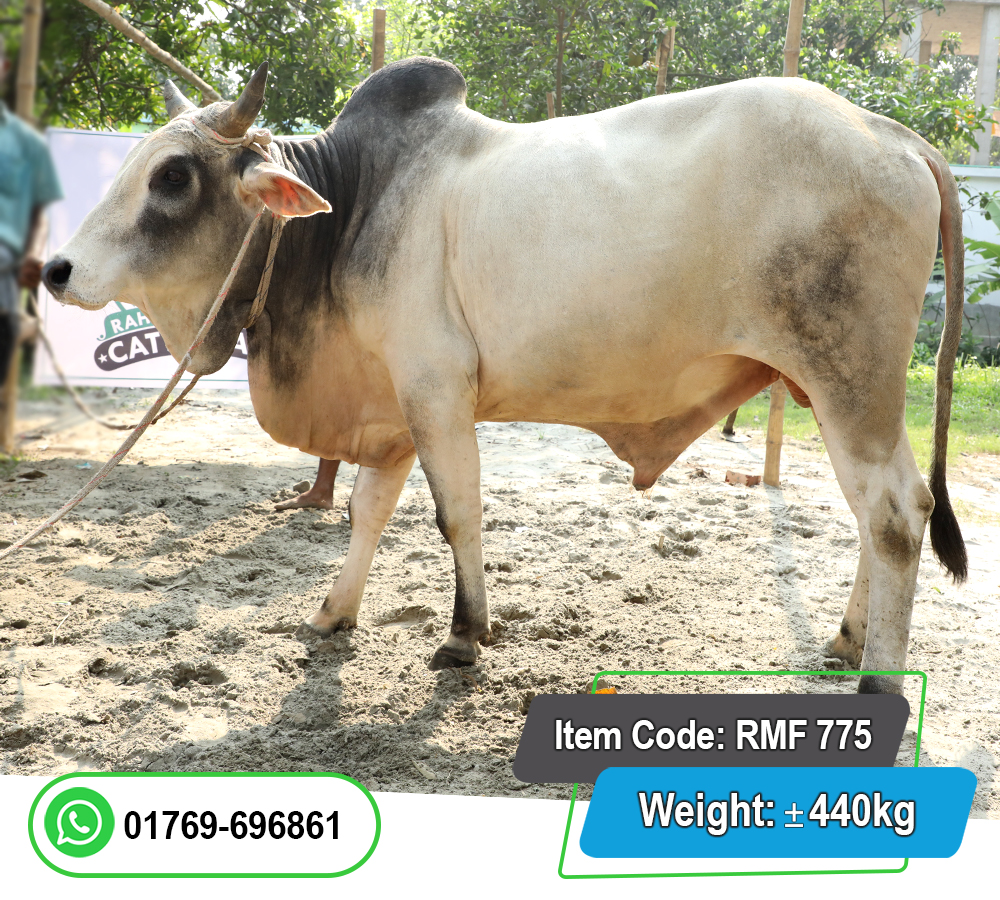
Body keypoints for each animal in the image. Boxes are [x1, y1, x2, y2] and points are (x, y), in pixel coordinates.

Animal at [42, 58, 967, 695]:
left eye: (172, 176)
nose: (56, 270)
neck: (352, 209)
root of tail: (892, 133)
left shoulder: (436, 392)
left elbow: (457, 516)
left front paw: (464, 635)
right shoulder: (390, 404)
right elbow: (368, 513)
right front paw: (336, 612)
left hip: (849, 380)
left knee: (895, 514)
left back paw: (881, 680)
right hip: (837, 390)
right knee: (875, 514)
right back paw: (847, 640)